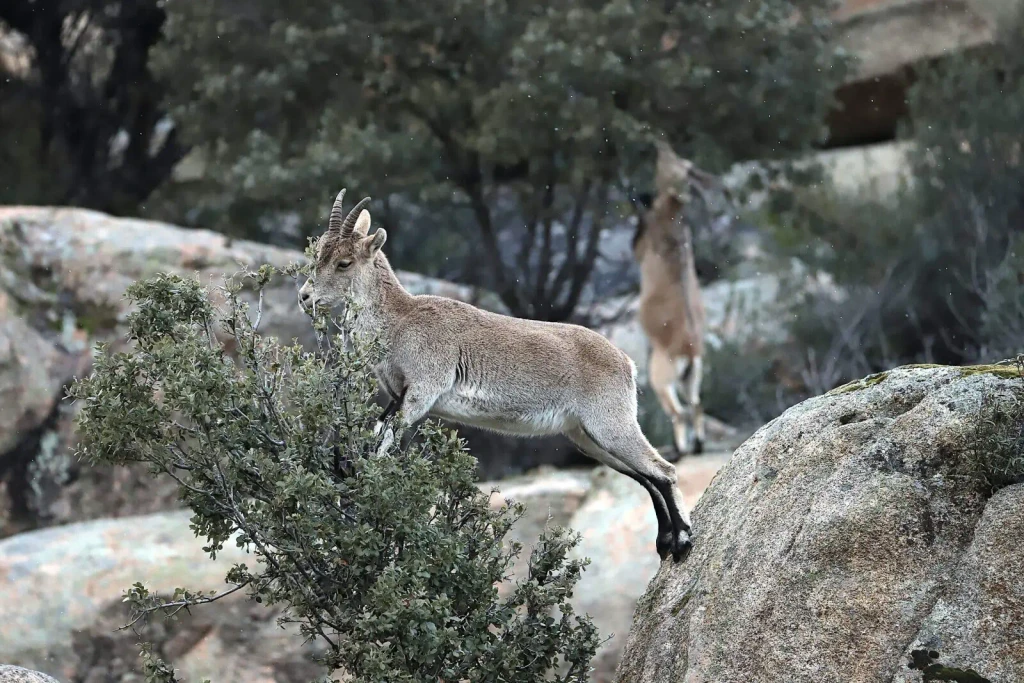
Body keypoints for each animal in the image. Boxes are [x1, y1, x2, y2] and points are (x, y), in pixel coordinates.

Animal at [298, 190, 694, 561]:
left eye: (344, 262)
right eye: (318, 254)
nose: (304, 297)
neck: (400, 322)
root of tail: (626, 363)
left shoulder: (423, 389)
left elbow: (382, 445)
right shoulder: (398, 395)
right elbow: (376, 436)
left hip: (610, 422)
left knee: (663, 470)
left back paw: (682, 542)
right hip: (585, 435)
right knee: (645, 477)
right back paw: (664, 543)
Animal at [632, 142, 720, 457]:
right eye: (685, 164)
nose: (659, 147)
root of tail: (689, 350)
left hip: (661, 377)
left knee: (679, 412)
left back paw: (680, 450)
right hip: (692, 378)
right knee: (697, 405)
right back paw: (698, 445)